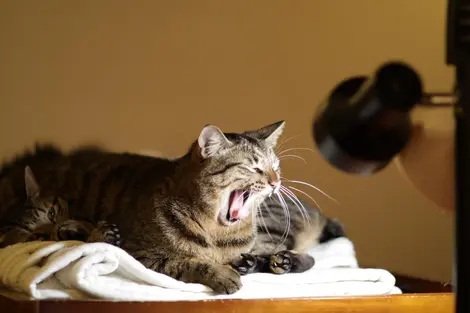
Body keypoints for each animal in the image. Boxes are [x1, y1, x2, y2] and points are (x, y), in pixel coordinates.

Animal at [0, 120, 346, 294]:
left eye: (275, 166)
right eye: (253, 167)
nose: (276, 182)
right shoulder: (143, 255)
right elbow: (190, 263)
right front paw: (224, 274)